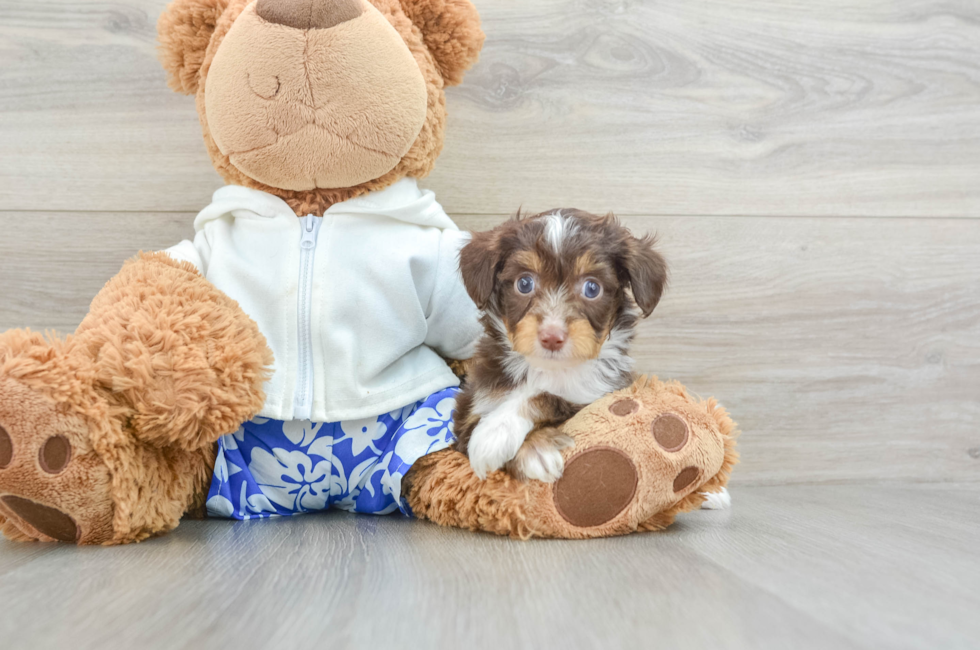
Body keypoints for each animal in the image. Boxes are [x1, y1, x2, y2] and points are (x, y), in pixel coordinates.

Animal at [456, 209, 668, 480]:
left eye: (592, 288)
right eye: (524, 283)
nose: (552, 336)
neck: (547, 369)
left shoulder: (599, 394)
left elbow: (549, 395)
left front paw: (497, 431)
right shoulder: (469, 412)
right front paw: (530, 447)